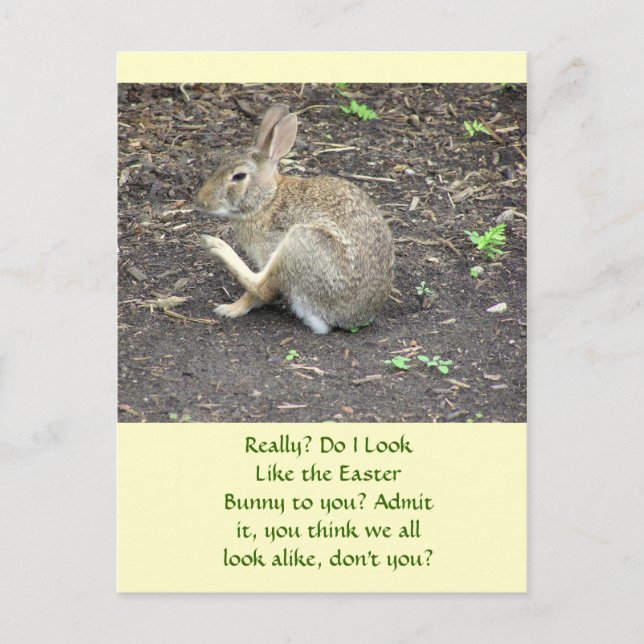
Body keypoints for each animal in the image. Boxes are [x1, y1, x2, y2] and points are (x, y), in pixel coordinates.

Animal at [195, 103, 394, 334]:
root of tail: (349, 319)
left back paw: (217, 249)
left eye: (239, 176)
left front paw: (235, 308)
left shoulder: (269, 250)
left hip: (302, 242)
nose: (201, 201)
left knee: (263, 287)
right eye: (223, 161)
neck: (268, 200)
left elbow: (260, 293)